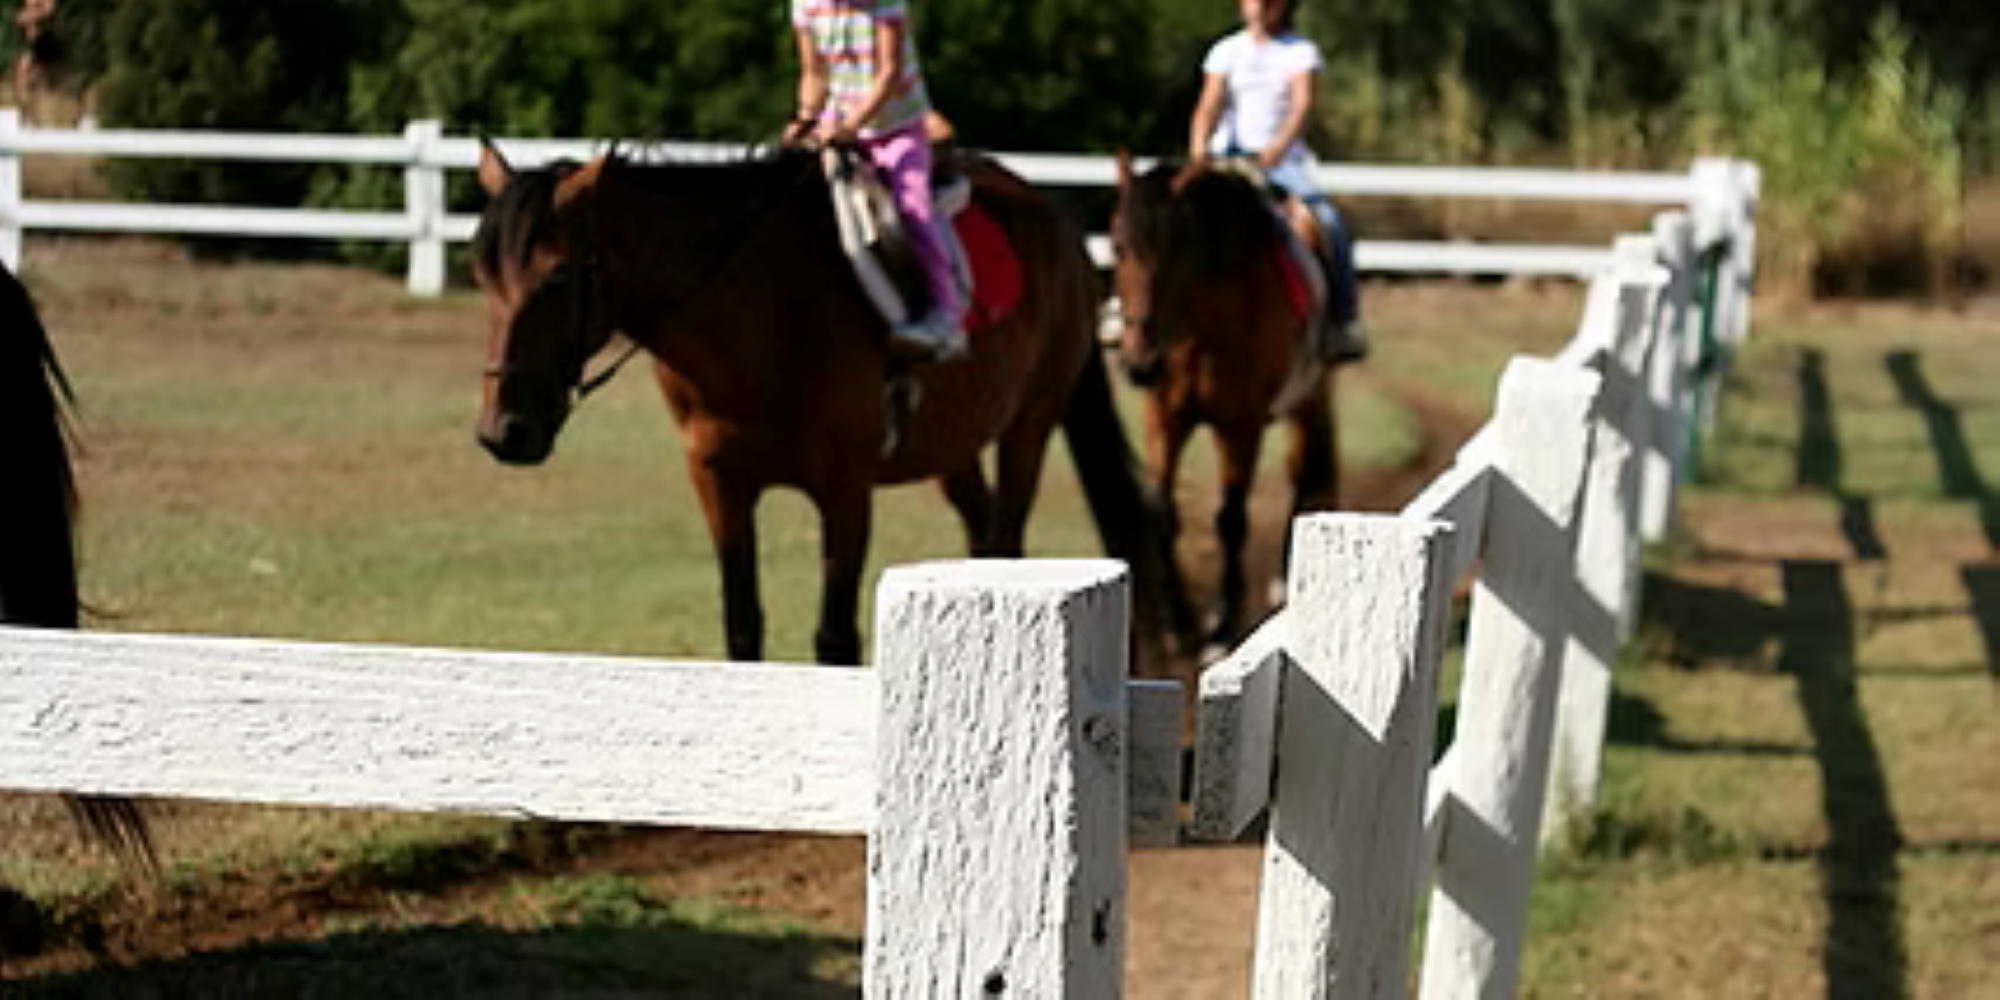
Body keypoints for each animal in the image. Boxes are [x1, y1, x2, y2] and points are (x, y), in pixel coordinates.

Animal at [471, 143, 1190, 667]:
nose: (503, 430)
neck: (759, 314)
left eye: (558, 275)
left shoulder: (845, 490)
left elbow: (835, 639)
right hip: (953, 449)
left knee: (1008, 533)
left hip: (1030, 426)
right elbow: (741, 626)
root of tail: (1056, 218)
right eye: (482, 275)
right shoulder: (718, 481)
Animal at [1108, 156, 1341, 651]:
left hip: (1308, 400)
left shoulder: (1241, 426)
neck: (1202, 327)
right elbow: (1163, 515)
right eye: (1117, 247)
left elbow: (1230, 519)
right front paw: (1178, 622)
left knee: (1300, 472)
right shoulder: (1166, 419)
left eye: (1177, 249)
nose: (1140, 364)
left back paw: (1281, 580)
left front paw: (1223, 624)